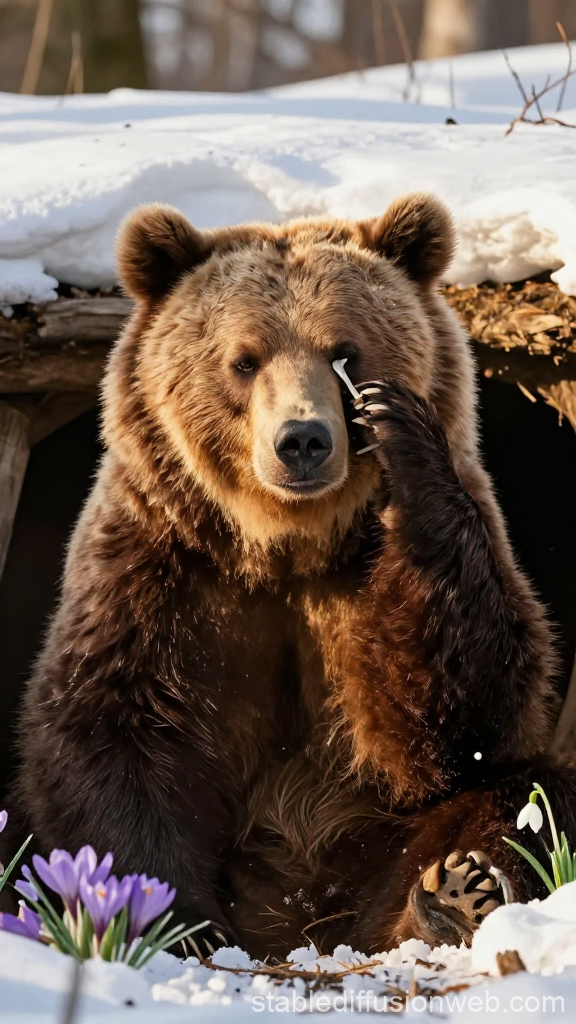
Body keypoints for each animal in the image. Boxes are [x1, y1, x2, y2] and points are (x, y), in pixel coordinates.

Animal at [13, 193, 576, 959]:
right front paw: (159, 912)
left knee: (524, 799)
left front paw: (399, 431)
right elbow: (109, 732)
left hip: (361, 859)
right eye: (244, 359)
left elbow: (469, 726)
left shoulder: (380, 578)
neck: (286, 545)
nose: (302, 440)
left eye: (345, 350)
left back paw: (451, 898)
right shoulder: (164, 571)